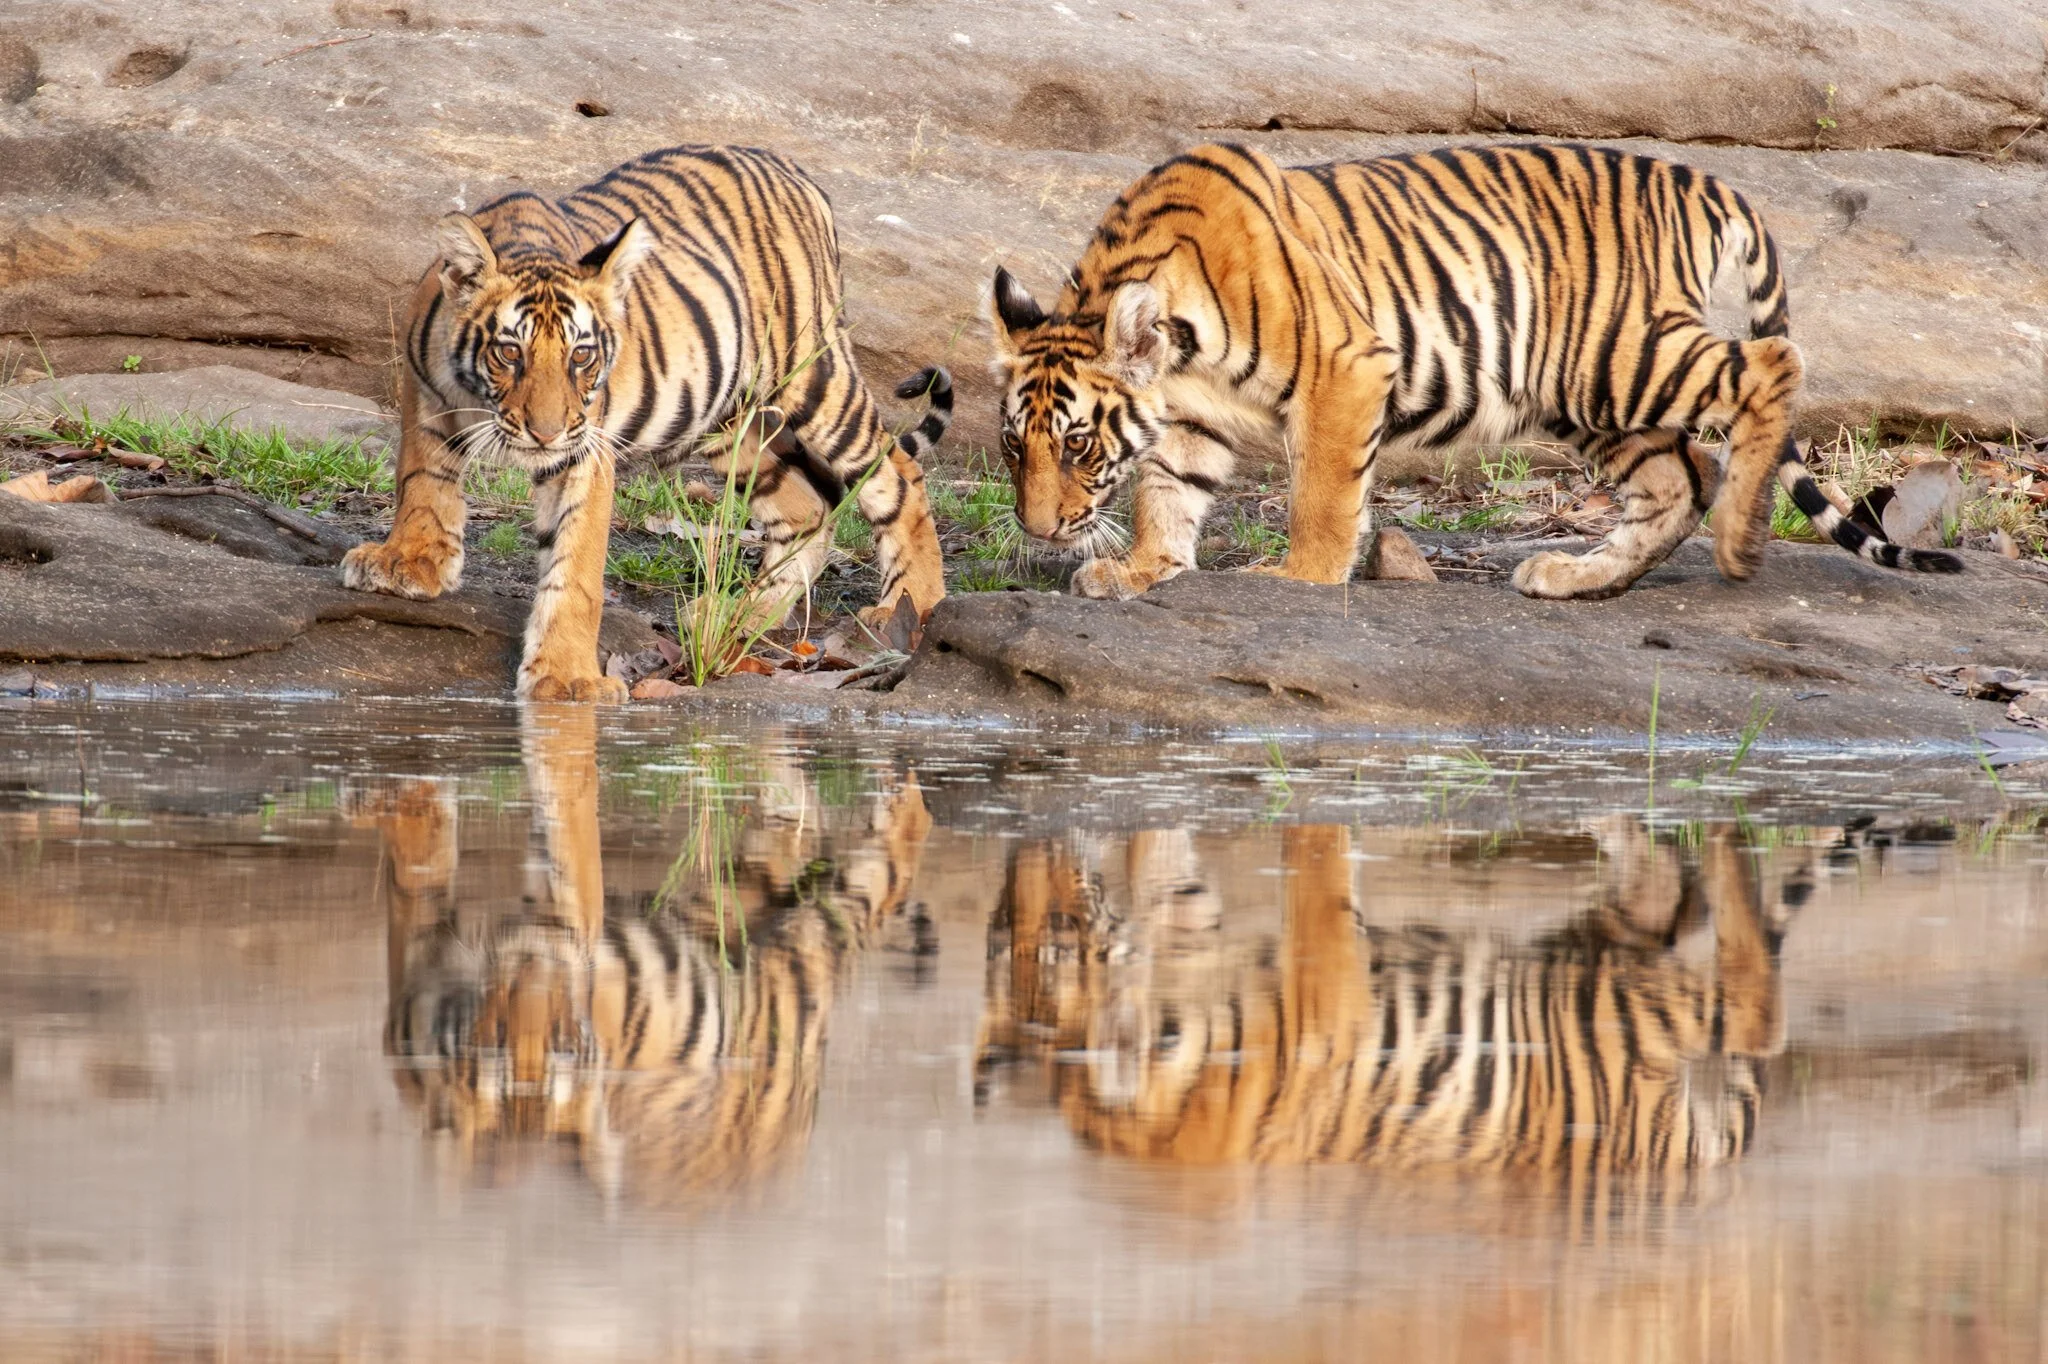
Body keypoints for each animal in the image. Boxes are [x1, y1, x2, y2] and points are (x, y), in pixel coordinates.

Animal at [342, 144, 951, 702]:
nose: (545, 433)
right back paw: (737, 613)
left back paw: (909, 608)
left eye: (581, 356)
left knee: (898, 475)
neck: (478, 398)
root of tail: (788, 166)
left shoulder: (583, 450)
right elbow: (422, 480)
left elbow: (576, 568)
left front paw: (567, 679)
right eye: (510, 353)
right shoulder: (427, 393)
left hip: (815, 377)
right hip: (733, 423)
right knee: (810, 509)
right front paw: (409, 562)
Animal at [355, 708, 933, 1209]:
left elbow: (562, 821)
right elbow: (419, 876)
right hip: (736, 893)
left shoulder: (566, 917)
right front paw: (401, 800)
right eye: (494, 1041)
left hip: (808, 948)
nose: (534, 968)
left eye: (564, 1038)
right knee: (788, 827)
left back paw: (900, 792)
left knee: (885, 872)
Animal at [975, 818, 1802, 1201]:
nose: (1026, 854)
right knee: (1726, 975)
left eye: (1055, 928)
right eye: (1004, 921)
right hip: (1611, 994)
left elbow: (1297, 869)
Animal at [987, 142, 1963, 603]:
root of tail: (1702, 179)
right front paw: (1141, 567)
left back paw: (1739, 547)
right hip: (1587, 397)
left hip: (1615, 354)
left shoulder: (1346, 368)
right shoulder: (1189, 414)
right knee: (1680, 477)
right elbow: (1169, 490)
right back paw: (1574, 577)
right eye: (1012, 450)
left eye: (1077, 447)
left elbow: (1322, 495)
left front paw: (1299, 579)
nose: (1038, 530)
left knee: (1770, 364)